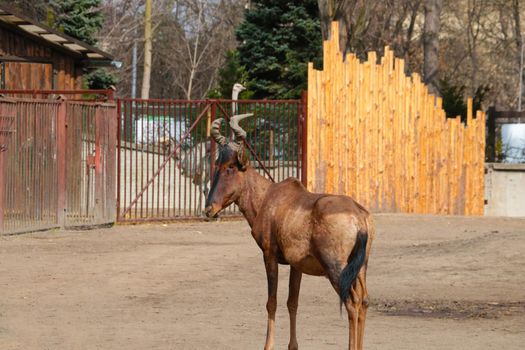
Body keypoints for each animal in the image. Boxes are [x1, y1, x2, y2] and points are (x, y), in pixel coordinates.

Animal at [204, 115, 372, 350]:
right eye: (218, 164)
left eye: (231, 167)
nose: (209, 210)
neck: (269, 196)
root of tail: (359, 217)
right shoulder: (296, 264)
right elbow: (292, 302)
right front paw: (293, 345)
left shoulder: (269, 255)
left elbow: (271, 302)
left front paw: (268, 345)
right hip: (361, 267)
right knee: (364, 301)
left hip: (336, 268)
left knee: (352, 302)